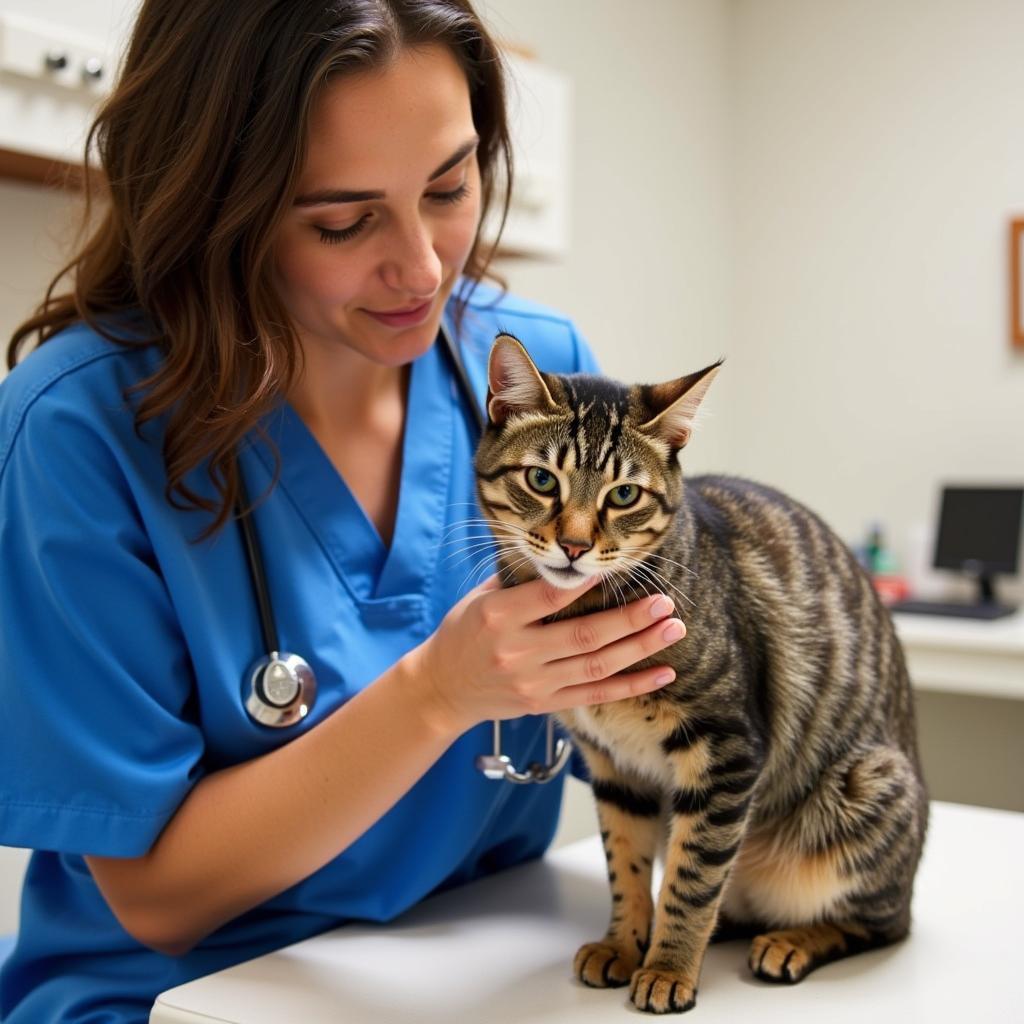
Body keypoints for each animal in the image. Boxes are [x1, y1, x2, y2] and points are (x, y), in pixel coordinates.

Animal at [471, 333, 929, 1015]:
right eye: (541, 479)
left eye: (624, 495)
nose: (575, 547)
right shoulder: (612, 763)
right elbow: (627, 864)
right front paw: (624, 942)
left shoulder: (727, 750)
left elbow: (692, 878)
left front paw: (667, 968)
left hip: (868, 787)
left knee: (882, 922)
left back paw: (790, 941)